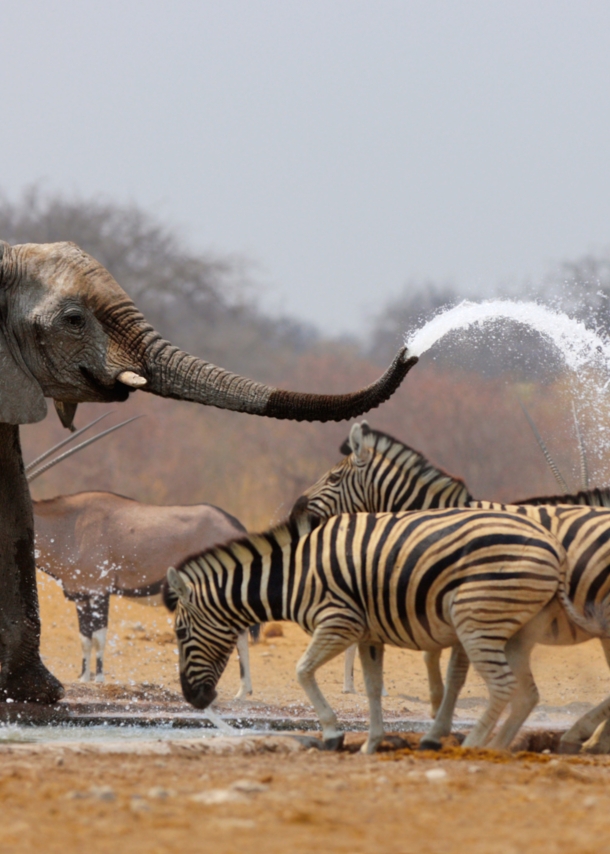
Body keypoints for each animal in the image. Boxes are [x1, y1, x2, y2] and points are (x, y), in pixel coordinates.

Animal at [0, 239, 416, 704]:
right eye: (74, 320)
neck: (64, 520)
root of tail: (232, 522)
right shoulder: (82, 595)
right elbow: (88, 639)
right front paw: (81, 677)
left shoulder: (95, 592)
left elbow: (96, 638)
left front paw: (92, 678)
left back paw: (247, 690)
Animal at [164, 508, 564, 756]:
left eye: (181, 633)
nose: (194, 700)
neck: (294, 575)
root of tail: (552, 543)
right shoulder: (369, 634)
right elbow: (372, 689)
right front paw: (372, 744)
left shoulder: (339, 621)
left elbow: (302, 671)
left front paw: (332, 734)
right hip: (511, 629)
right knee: (524, 692)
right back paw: (491, 745)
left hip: (476, 620)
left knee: (503, 686)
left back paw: (473, 747)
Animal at [290, 424, 608, 752]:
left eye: (333, 478)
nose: (295, 513)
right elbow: (436, 658)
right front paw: (438, 711)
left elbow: (449, 667)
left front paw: (437, 715)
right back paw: (588, 738)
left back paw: (582, 736)